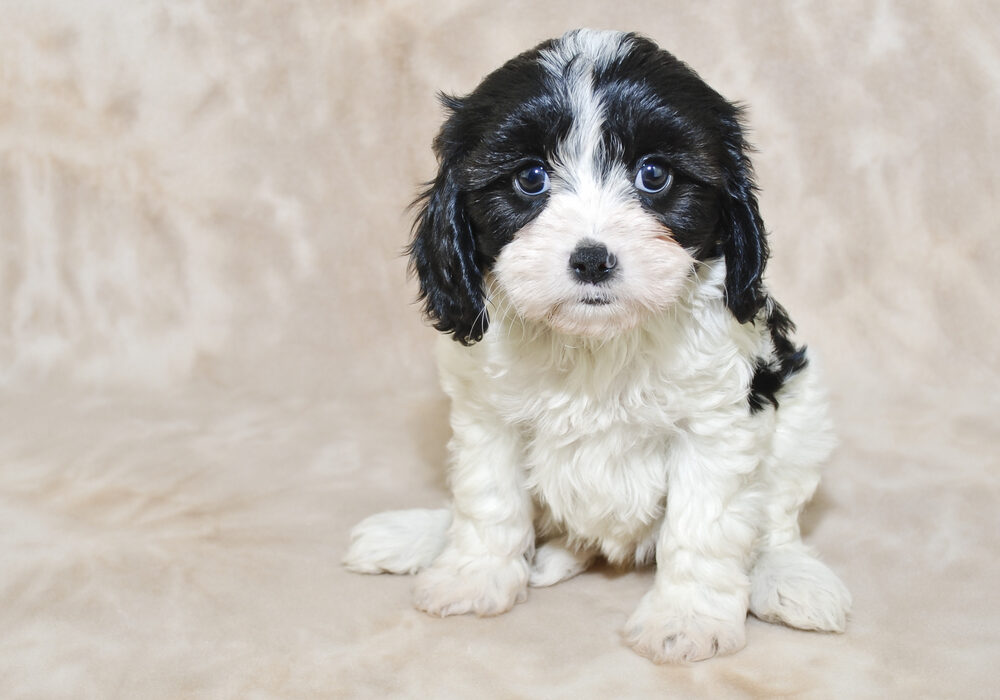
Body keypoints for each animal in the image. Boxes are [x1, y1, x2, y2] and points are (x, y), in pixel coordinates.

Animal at [346, 27, 852, 660]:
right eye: (530, 178)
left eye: (654, 175)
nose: (591, 259)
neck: (596, 343)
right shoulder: (488, 417)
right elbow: (487, 499)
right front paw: (474, 575)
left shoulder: (717, 424)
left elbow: (702, 527)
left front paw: (685, 619)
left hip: (803, 414)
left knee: (777, 518)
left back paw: (786, 576)